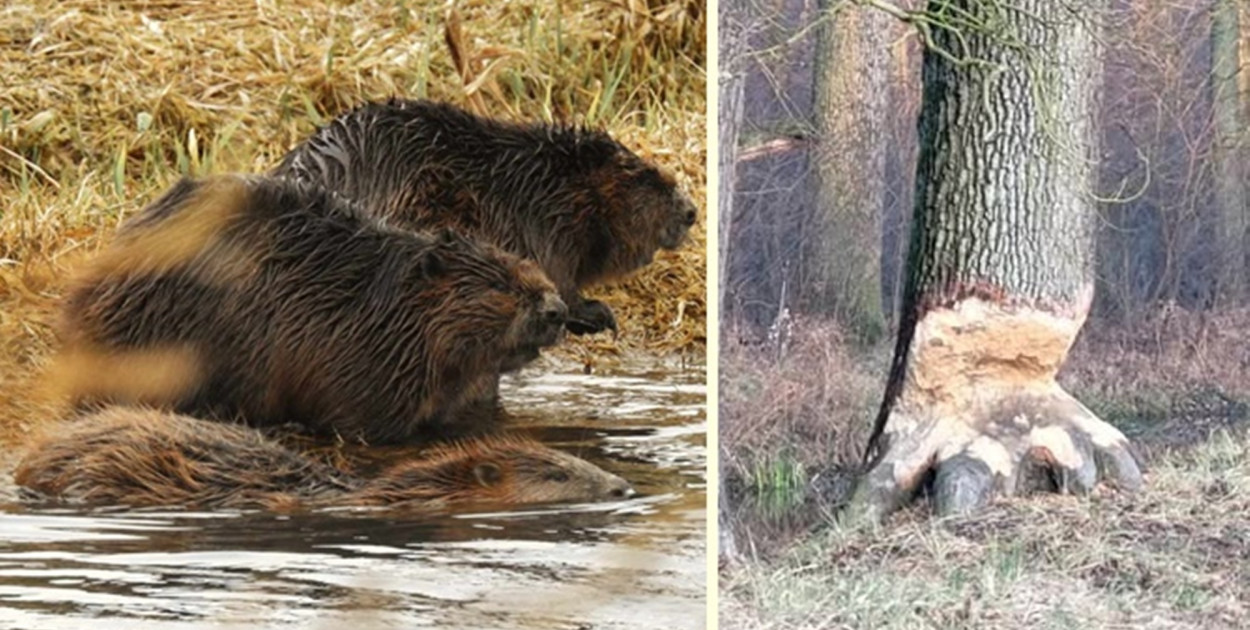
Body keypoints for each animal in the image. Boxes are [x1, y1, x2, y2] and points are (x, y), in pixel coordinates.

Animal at [272, 98, 700, 335]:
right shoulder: (548, 226)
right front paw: (600, 314)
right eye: (649, 176)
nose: (692, 211)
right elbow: (559, 281)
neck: (546, 183)